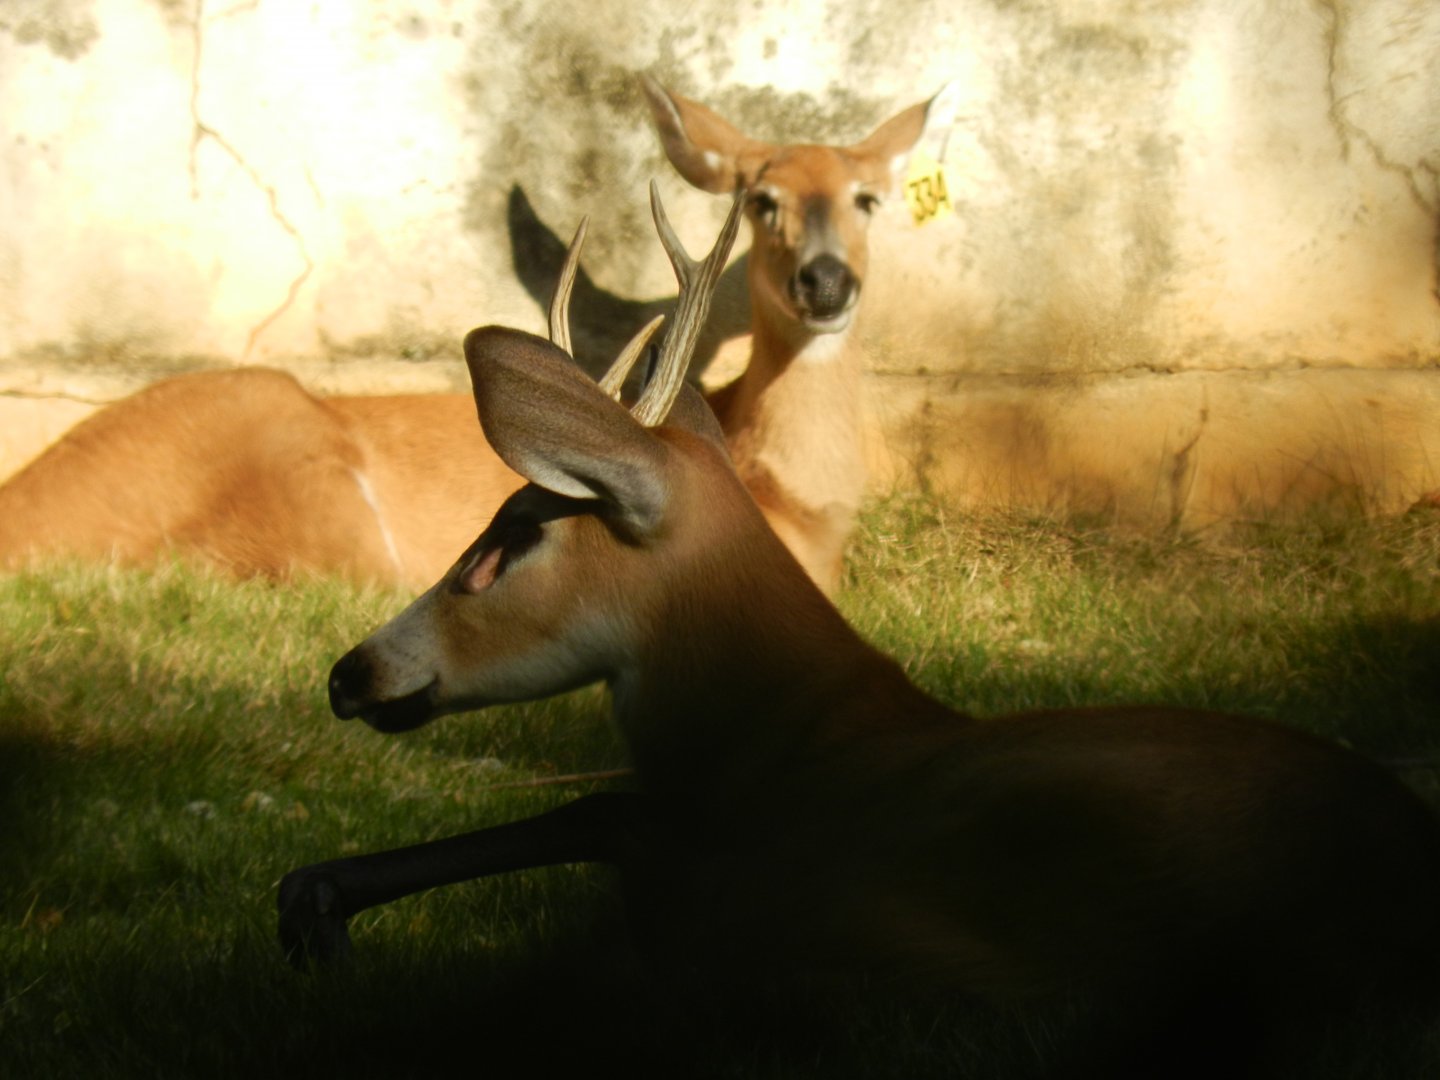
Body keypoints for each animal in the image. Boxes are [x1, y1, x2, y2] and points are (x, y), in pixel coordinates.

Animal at [0, 79, 941, 591]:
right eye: (761, 200)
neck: (798, 502)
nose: (826, 281)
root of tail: (23, 516)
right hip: (298, 478)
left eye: (868, 198)